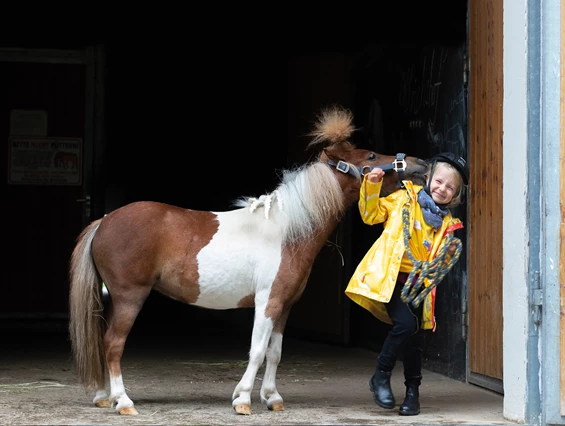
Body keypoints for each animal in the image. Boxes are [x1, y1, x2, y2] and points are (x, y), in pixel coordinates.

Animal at [67, 106, 428, 416]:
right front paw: (242, 399)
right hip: (130, 296)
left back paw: (104, 397)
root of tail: (105, 221)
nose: (420, 163)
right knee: (113, 344)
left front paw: (272, 398)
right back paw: (124, 402)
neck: (287, 230)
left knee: (102, 342)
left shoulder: (285, 306)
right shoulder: (267, 302)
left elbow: (274, 353)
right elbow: (256, 350)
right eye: (371, 156)